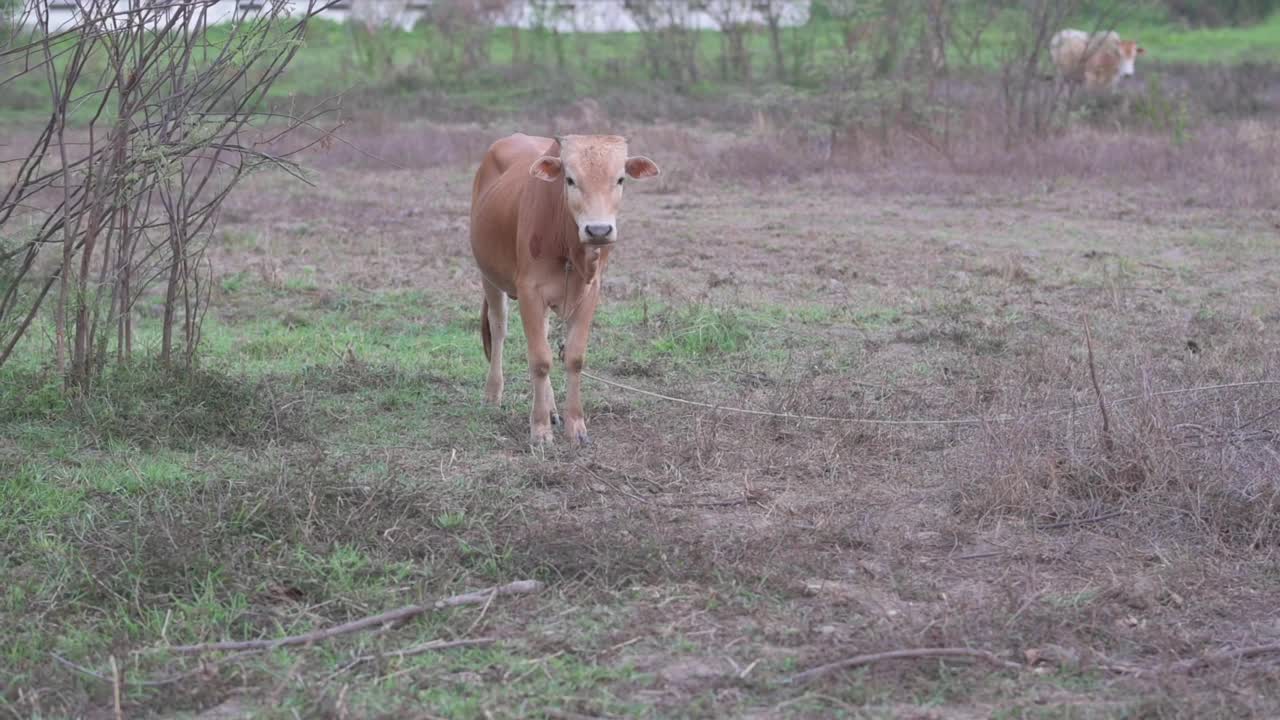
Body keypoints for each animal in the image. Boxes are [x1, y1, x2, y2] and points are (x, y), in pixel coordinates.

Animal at [468, 133, 660, 443]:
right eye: (569, 179)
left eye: (620, 179)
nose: (598, 230)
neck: (567, 245)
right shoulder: (529, 292)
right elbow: (540, 360)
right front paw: (539, 429)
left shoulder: (590, 292)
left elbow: (573, 357)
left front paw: (575, 426)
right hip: (489, 276)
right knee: (498, 329)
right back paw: (493, 393)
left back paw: (552, 410)